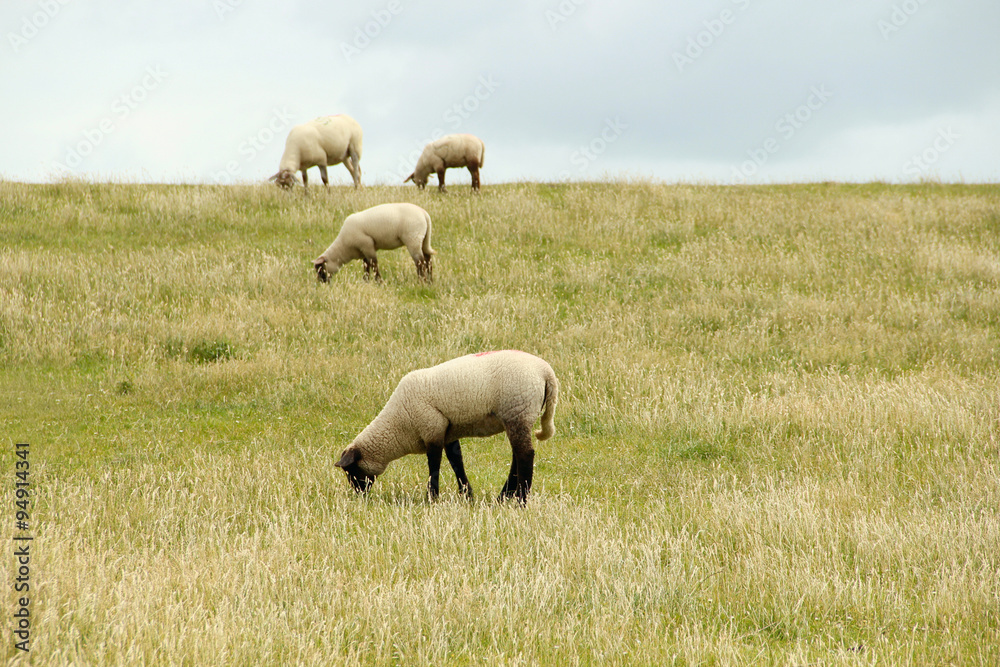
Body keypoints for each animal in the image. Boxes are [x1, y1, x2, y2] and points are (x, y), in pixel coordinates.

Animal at [335, 350, 558, 504]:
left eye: (351, 471)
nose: (359, 495)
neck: (398, 423)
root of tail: (546, 372)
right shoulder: (448, 431)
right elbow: (456, 462)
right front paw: (467, 495)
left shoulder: (431, 428)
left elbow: (434, 466)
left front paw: (432, 497)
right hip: (518, 416)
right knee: (517, 458)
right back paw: (504, 497)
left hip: (518, 411)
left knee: (525, 456)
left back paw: (521, 500)